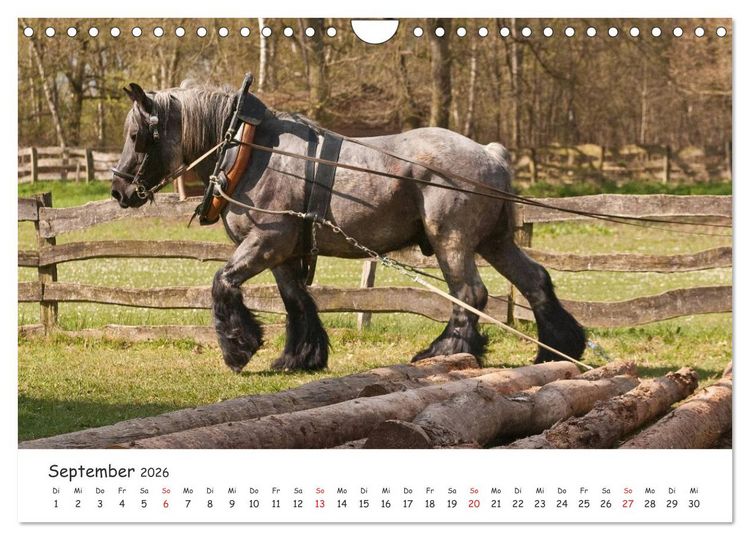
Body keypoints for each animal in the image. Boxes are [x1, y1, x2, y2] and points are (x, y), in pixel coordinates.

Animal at [111, 82, 586, 373]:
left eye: (137, 136)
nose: (118, 189)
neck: (248, 149)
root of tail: (491, 153)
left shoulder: (267, 240)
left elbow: (222, 282)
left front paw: (238, 347)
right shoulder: (282, 252)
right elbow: (296, 302)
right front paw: (300, 356)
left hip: (451, 240)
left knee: (469, 294)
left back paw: (444, 352)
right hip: (494, 241)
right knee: (535, 281)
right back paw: (558, 349)